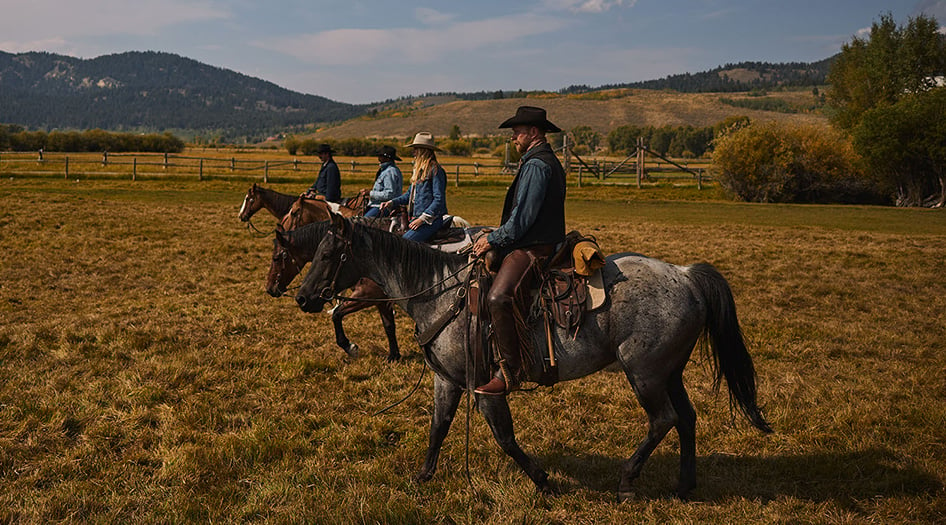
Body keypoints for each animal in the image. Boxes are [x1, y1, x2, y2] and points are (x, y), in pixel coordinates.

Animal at [294, 213, 768, 500]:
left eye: (328, 253)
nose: (302, 298)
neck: (440, 294)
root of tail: (686, 275)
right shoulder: (447, 380)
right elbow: (438, 428)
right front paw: (423, 476)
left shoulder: (486, 386)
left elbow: (504, 437)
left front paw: (543, 480)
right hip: (670, 371)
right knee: (686, 418)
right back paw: (685, 485)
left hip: (645, 374)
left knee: (663, 419)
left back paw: (627, 481)